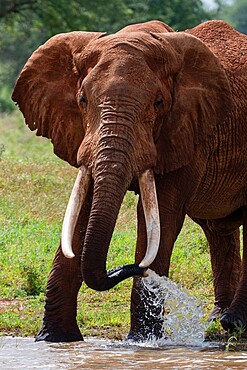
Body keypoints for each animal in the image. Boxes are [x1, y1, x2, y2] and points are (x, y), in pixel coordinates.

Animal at [12, 20, 246, 342]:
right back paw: (219, 321)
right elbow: (83, 211)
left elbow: (160, 218)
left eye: (158, 103)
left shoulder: (186, 133)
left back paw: (234, 323)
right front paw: (54, 339)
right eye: (82, 99)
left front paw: (141, 342)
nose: (132, 268)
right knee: (217, 231)